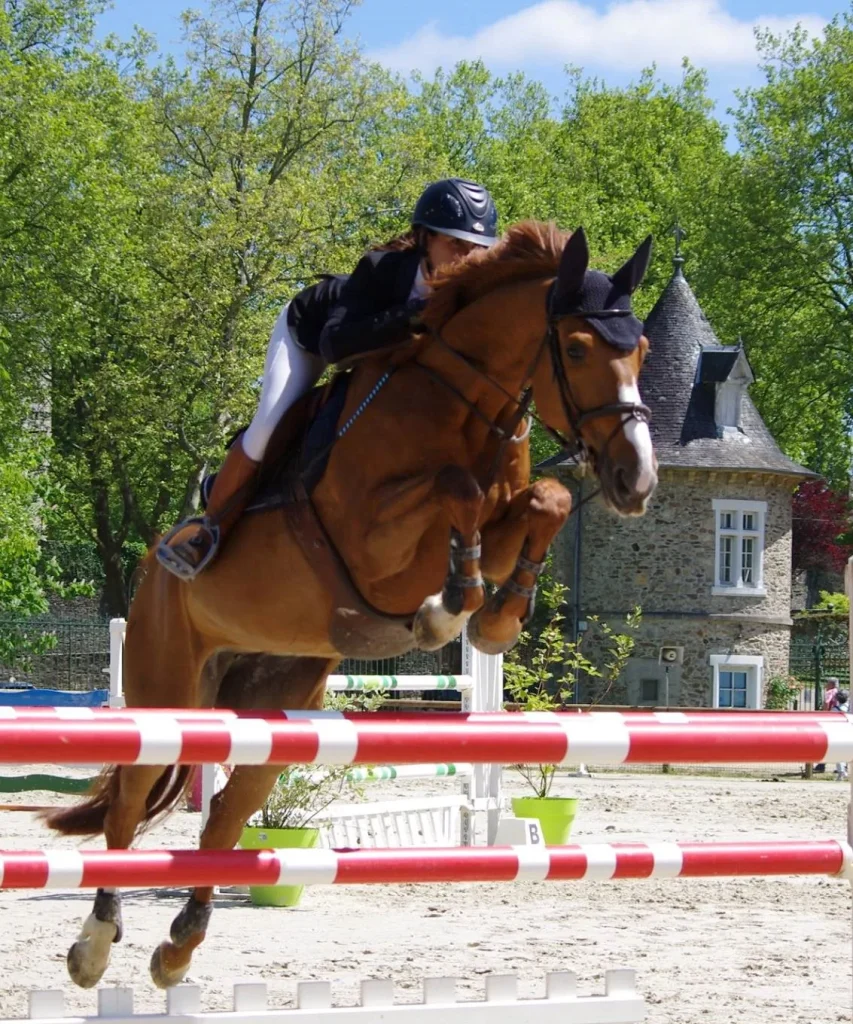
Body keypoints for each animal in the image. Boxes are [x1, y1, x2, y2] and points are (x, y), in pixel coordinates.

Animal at [43, 220, 655, 987]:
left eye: (642, 349)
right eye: (574, 348)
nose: (637, 480)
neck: (465, 403)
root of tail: (152, 574)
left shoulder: (504, 522)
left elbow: (548, 499)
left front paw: (496, 617)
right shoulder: (373, 541)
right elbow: (454, 488)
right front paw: (447, 609)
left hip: (276, 703)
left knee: (225, 815)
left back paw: (179, 946)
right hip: (166, 688)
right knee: (128, 804)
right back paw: (94, 944)